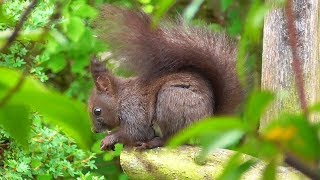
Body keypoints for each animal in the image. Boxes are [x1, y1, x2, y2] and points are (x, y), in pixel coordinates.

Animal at [86, 5, 244, 150]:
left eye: (97, 111)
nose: (94, 130)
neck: (121, 98)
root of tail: (208, 120)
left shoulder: (135, 111)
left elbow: (136, 132)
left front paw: (109, 139)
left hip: (170, 100)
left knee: (170, 139)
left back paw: (151, 143)